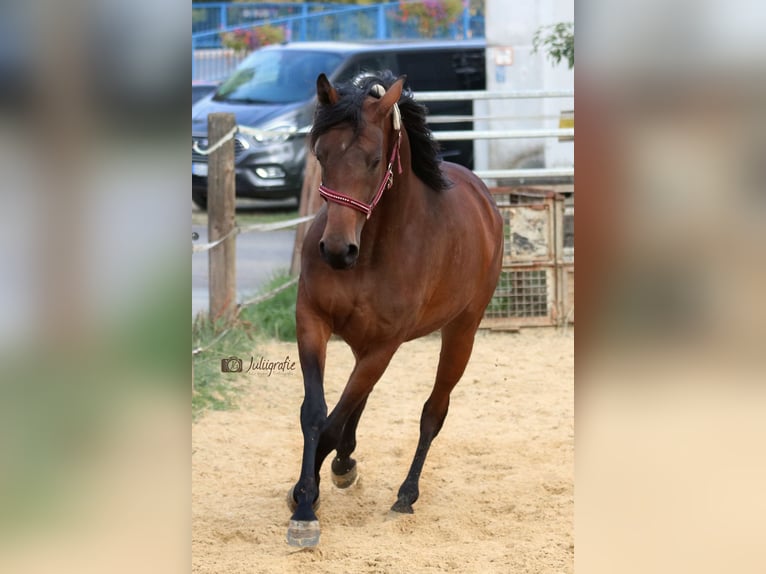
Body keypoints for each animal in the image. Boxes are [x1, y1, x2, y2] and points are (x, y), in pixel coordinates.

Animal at [288, 70, 504, 548]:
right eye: (321, 154)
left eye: (373, 160)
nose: (336, 251)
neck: (371, 249)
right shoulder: (312, 321)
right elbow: (316, 413)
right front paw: (307, 494)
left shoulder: (386, 344)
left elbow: (332, 422)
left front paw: (305, 505)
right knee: (358, 402)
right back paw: (345, 464)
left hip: (460, 333)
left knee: (432, 412)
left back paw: (405, 495)